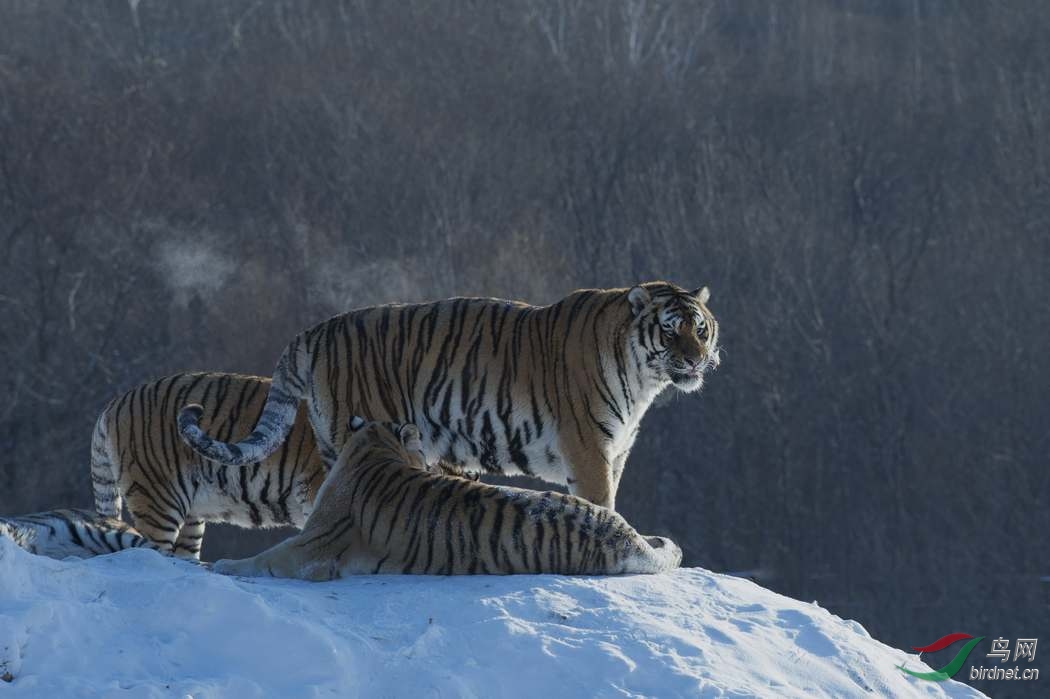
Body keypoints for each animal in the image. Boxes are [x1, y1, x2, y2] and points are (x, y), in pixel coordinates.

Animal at [179, 282, 720, 512]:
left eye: (700, 328)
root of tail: (312, 332)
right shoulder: (588, 451)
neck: (645, 378)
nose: (696, 360)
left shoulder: (617, 452)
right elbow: (602, 503)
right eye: (670, 331)